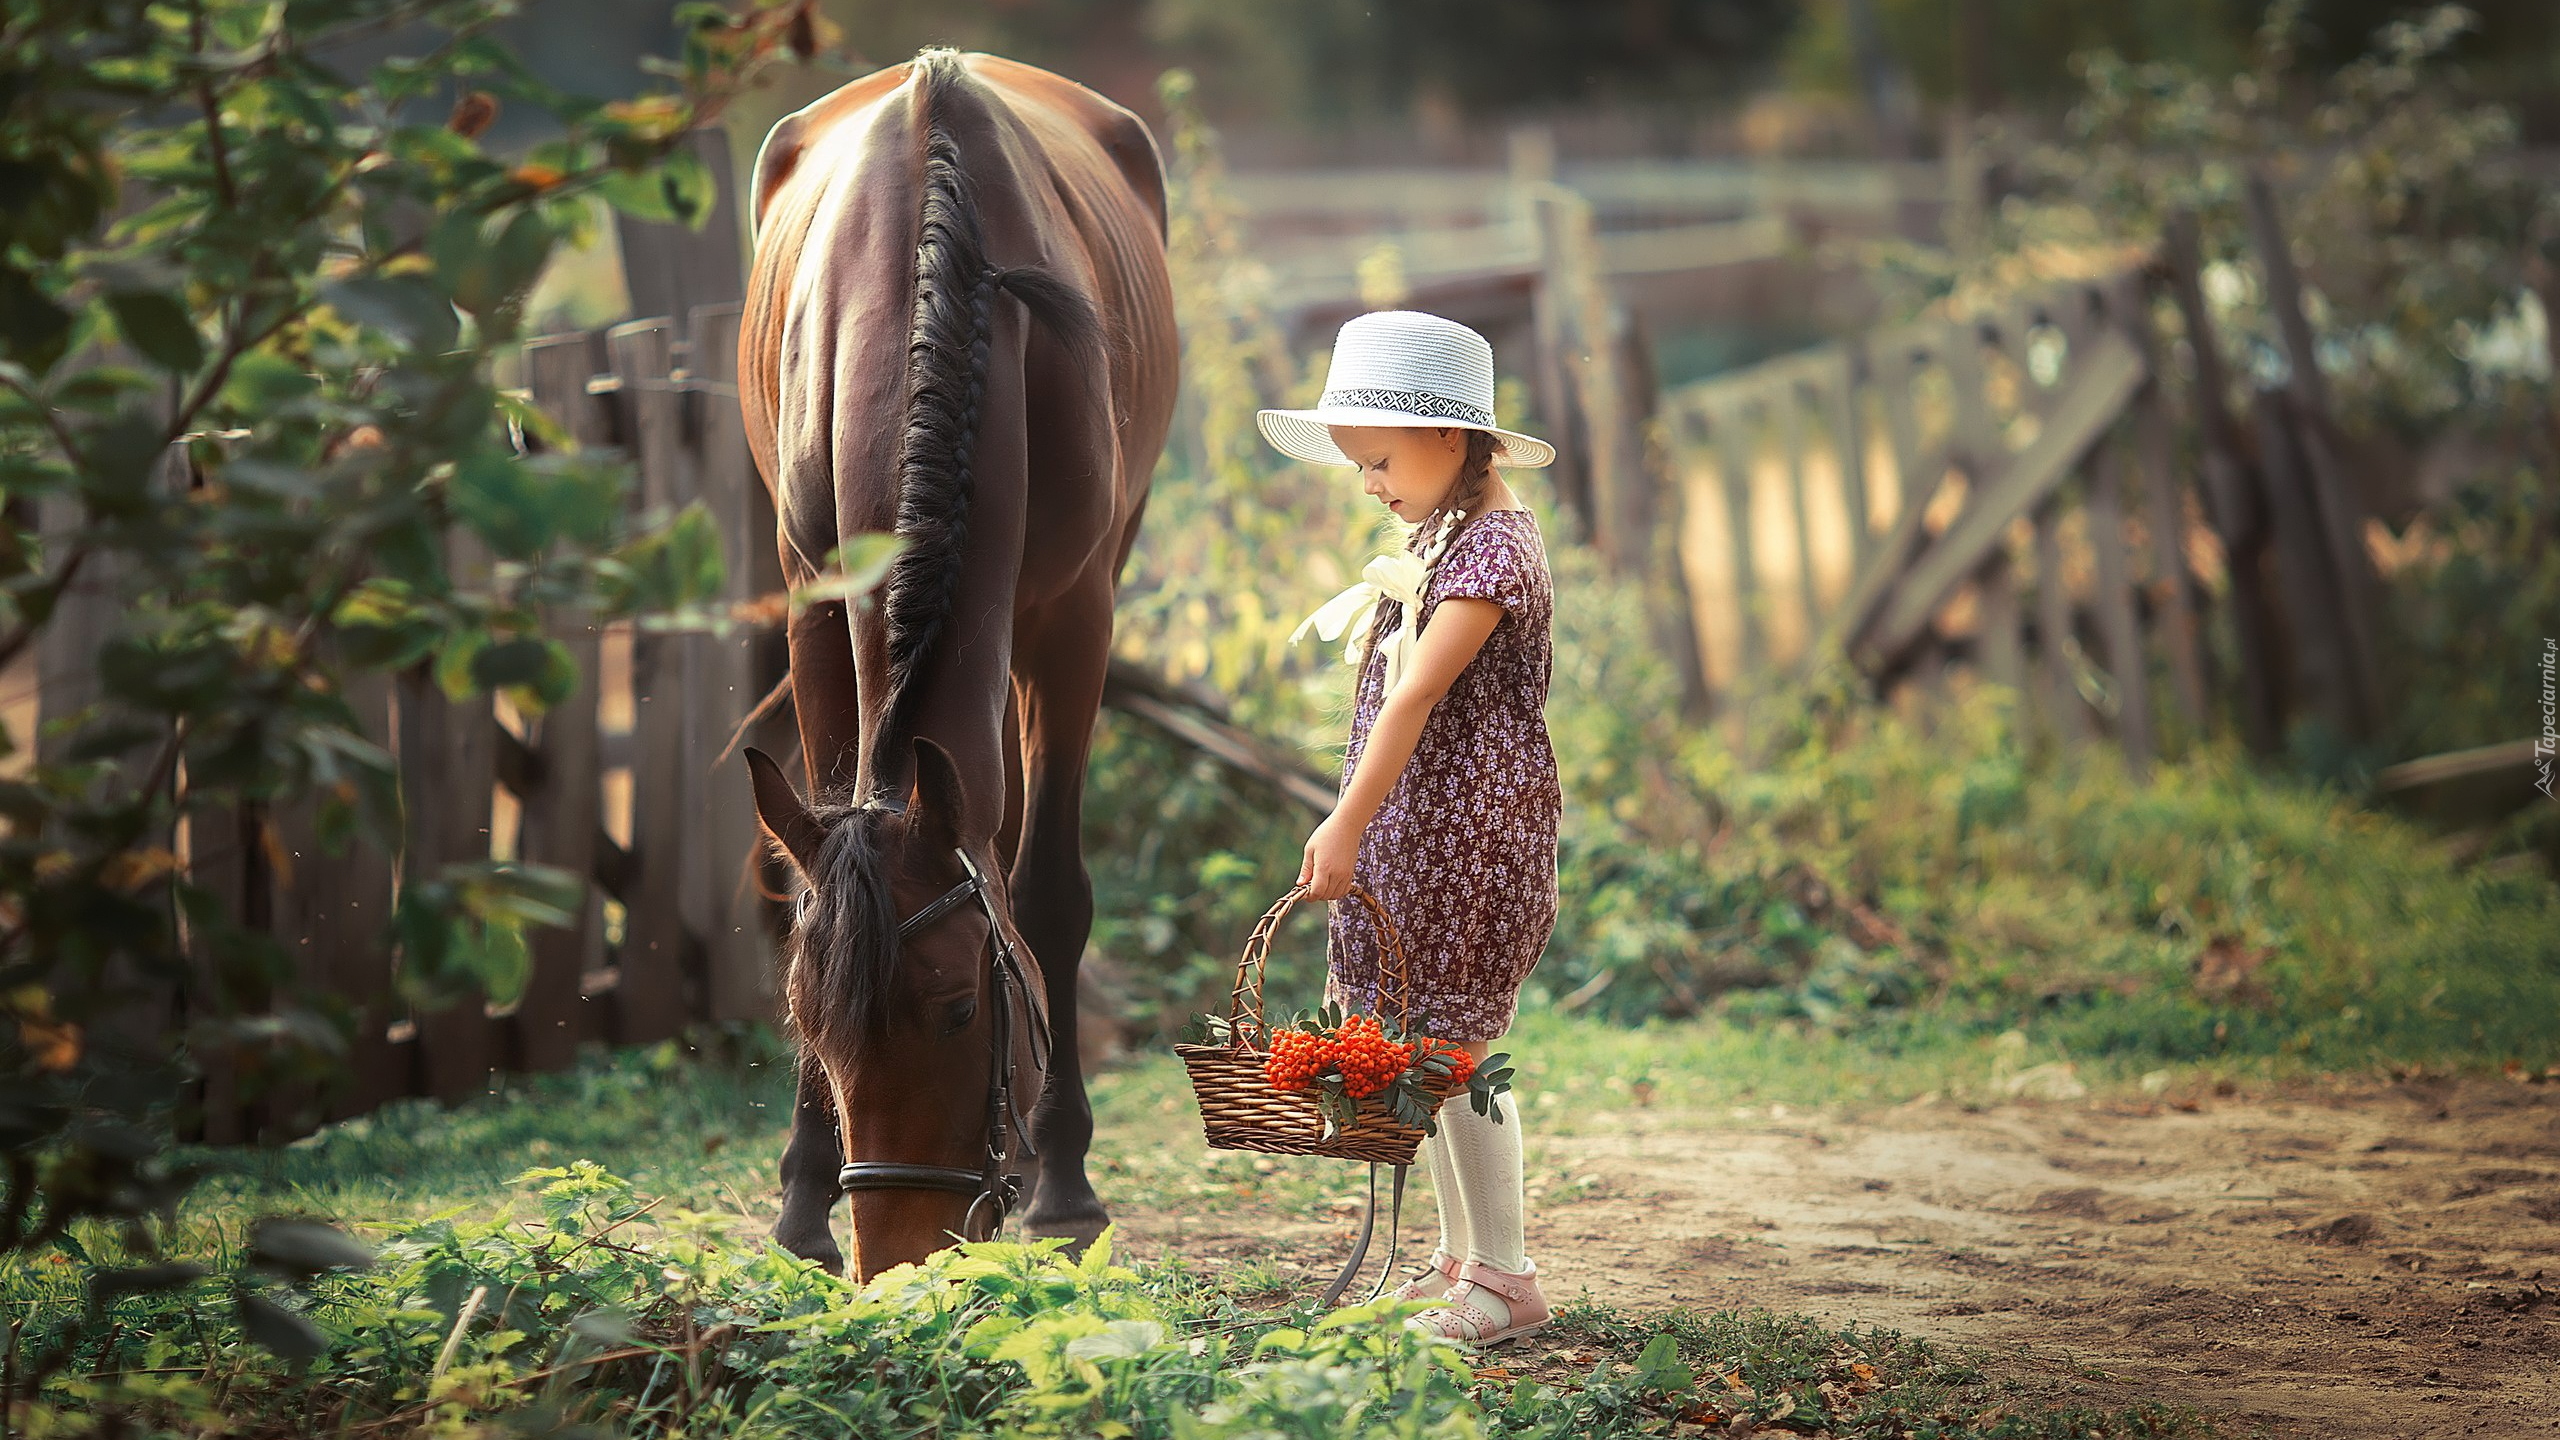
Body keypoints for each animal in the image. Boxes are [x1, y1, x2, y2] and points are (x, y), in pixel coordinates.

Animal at [742, 47, 1177, 1276]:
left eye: (958, 1013)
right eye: (810, 1021)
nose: (895, 1255)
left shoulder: (1076, 619)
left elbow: (1046, 895)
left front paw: (1064, 1185)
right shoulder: (813, 600)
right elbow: (817, 869)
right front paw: (803, 1196)